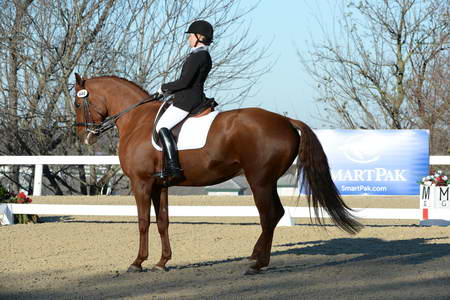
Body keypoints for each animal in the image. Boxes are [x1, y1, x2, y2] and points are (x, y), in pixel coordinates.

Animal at [74, 73, 362, 274]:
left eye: (78, 102)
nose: (84, 137)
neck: (136, 120)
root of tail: (286, 121)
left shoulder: (141, 183)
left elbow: (143, 222)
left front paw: (137, 263)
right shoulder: (160, 185)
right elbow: (163, 222)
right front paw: (162, 262)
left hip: (259, 180)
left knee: (269, 215)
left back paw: (256, 264)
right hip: (267, 181)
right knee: (276, 214)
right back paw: (256, 258)